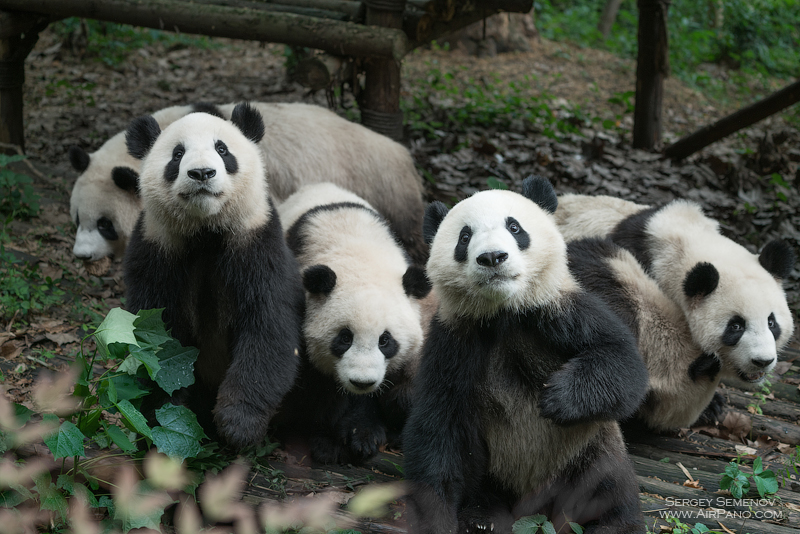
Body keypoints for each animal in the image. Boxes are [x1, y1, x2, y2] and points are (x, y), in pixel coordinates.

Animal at [123, 101, 304, 452]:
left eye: (222, 150)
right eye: (177, 155)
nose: (202, 173)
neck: (205, 231)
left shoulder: (257, 243)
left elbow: (267, 327)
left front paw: (238, 424)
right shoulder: (157, 249)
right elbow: (155, 338)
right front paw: (161, 420)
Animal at [274, 183, 438, 464]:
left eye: (385, 340)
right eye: (344, 337)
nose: (362, 382)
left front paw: (365, 433)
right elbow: (316, 390)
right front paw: (332, 440)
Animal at [406, 177, 648, 534]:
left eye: (514, 227)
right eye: (464, 237)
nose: (492, 257)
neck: (503, 309)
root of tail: (536, 504)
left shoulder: (557, 310)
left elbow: (621, 363)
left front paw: (557, 399)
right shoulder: (455, 338)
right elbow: (438, 420)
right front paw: (436, 519)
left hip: (588, 450)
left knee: (608, 487)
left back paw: (613, 524)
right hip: (488, 461)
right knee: (479, 478)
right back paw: (482, 517)